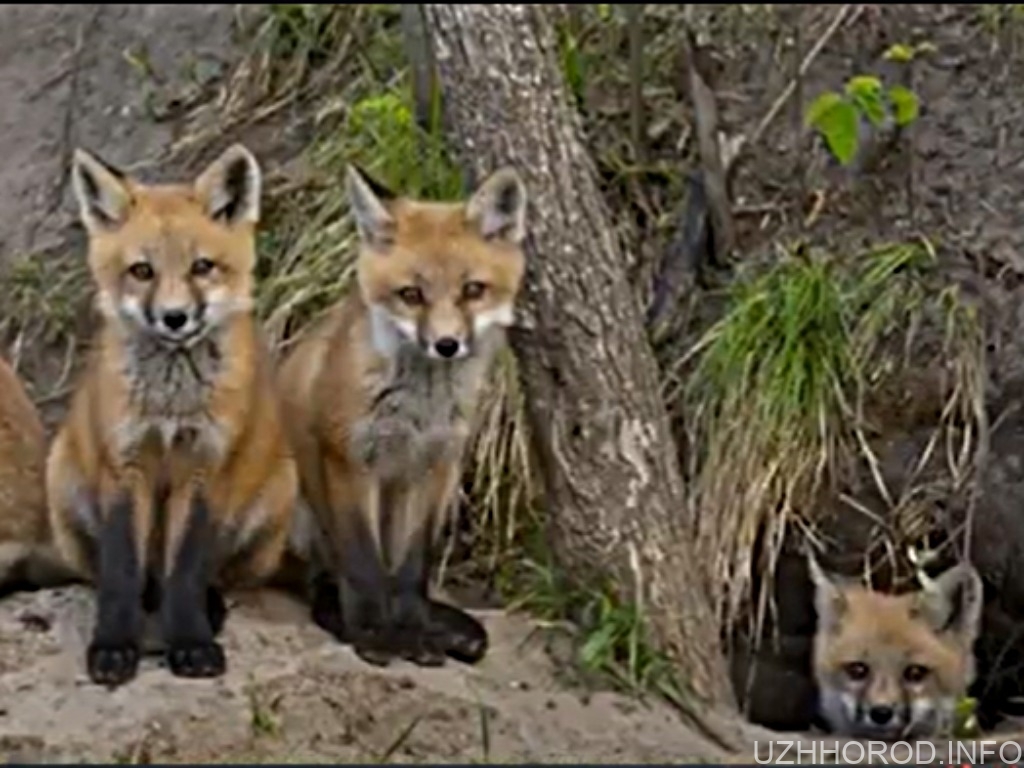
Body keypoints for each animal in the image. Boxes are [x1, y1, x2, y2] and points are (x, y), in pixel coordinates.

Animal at [47, 147, 299, 688]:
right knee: (124, 575)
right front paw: (113, 647)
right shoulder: (124, 467)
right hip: (62, 483)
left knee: (213, 577)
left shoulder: (206, 469)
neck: (170, 404)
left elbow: (185, 570)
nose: (175, 317)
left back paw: (208, 607)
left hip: (274, 499)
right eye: (141, 271)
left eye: (203, 267)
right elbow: (120, 571)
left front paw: (191, 642)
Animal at [278, 163, 528, 667]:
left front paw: (414, 631)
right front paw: (375, 635)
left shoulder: (435, 465)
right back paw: (341, 617)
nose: (447, 345)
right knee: (318, 581)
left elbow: (413, 568)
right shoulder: (350, 460)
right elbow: (363, 566)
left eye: (473, 290)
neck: (419, 408)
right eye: (411, 294)